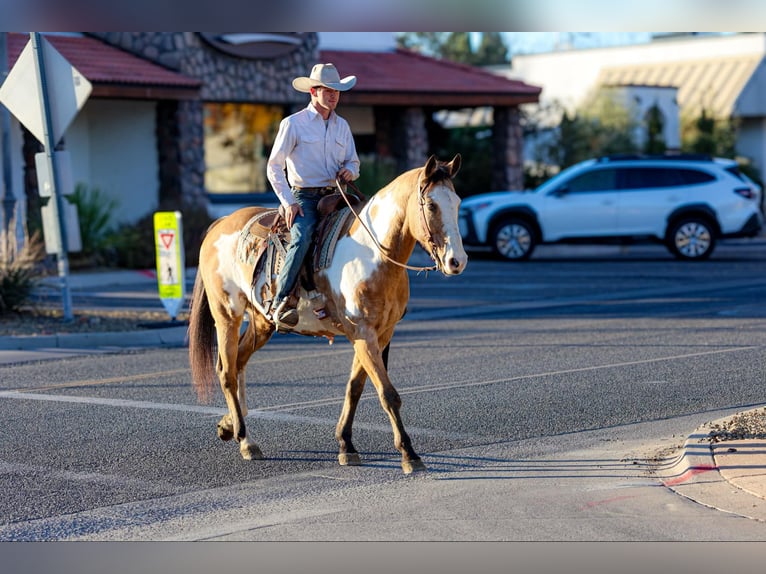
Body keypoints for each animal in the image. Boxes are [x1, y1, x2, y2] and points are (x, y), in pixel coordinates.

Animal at [189, 155, 472, 474]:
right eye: (432, 205)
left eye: (457, 202)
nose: (457, 261)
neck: (374, 255)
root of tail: (221, 223)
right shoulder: (362, 332)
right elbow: (387, 393)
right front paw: (409, 454)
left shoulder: (380, 333)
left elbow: (355, 387)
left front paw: (346, 445)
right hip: (227, 314)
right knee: (226, 372)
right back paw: (245, 441)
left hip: (261, 322)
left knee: (238, 363)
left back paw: (230, 427)